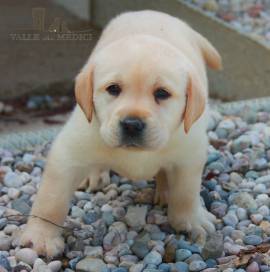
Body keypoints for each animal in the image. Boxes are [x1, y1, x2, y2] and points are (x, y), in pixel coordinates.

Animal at [19, 10, 221, 258]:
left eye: (162, 93)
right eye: (113, 89)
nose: (132, 124)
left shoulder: (189, 153)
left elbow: (186, 192)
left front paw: (192, 220)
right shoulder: (69, 150)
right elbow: (51, 200)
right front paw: (41, 236)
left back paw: (164, 190)